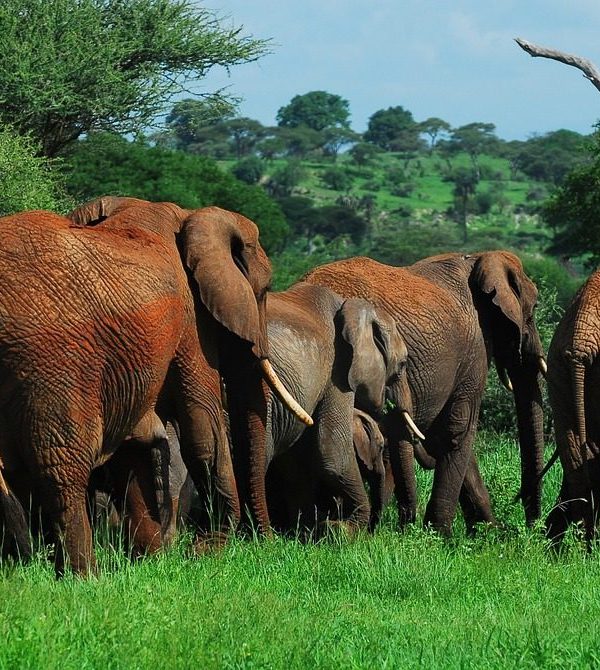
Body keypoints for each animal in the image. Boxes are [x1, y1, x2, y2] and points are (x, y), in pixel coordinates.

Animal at [0, 198, 308, 575]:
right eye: (262, 292)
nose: (268, 543)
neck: (188, 216)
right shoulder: (190, 323)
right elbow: (202, 427)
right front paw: (207, 552)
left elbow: (136, 443)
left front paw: (153, 562)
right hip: (51, 365)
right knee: (63, 467)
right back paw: (84, 577)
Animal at [256, 281, 419, 533]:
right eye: (402, 365)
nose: (404, 527)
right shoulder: (338, 370)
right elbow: (332, 448)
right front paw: (345, 529)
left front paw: (308, 530)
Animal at [304, 252, 546, 534]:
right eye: (534, 310)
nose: (532, 526)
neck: (478, 260)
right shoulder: (475, 349)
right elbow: (458, 428)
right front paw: (442, 534)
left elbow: (448, 434)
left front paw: (486, 532)